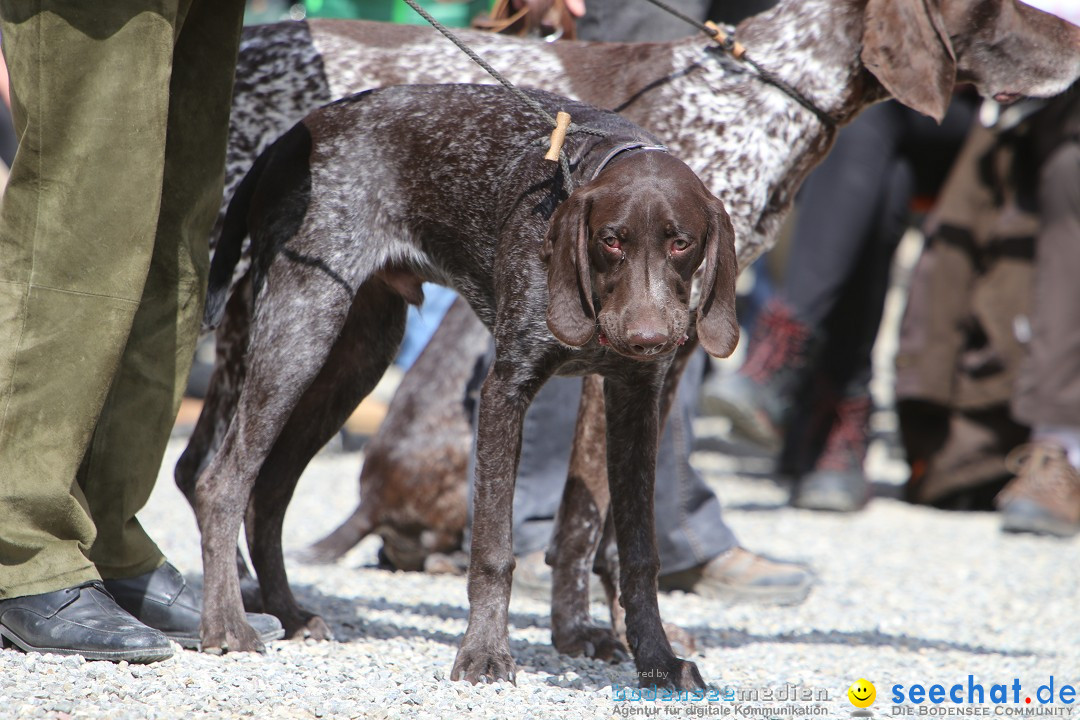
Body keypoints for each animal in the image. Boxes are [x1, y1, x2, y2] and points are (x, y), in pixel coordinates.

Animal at [194, 83, 738, 686]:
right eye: (611, 241)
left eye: (681, 244)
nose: (648, 338)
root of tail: (291, 137)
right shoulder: (505, 393)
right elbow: (494, 552)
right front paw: (483, 653)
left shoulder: (636, 402)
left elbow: (638, 556)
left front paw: (657, 659)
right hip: (300, 330)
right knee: (221, 482)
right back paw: (228, 625)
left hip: (356, 358)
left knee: (268, 492)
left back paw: (288, 613)